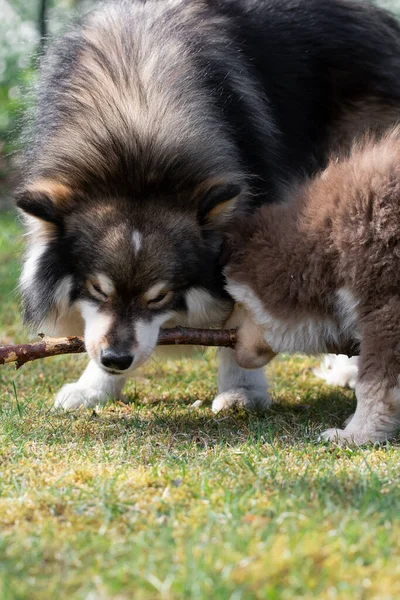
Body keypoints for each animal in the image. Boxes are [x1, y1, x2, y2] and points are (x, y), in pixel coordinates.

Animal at [15, 0, 400, 410]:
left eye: (161, 296)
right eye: (98, 289)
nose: (117, 360)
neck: (136, 145)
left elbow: (240, 315)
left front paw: (242, 389)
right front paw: (95, 387)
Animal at [225, 129, 400, 442]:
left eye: (237, 303)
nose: (226, 338)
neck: (332, 249)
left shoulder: (386, 306)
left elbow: (375, 385)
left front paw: (356, 434)